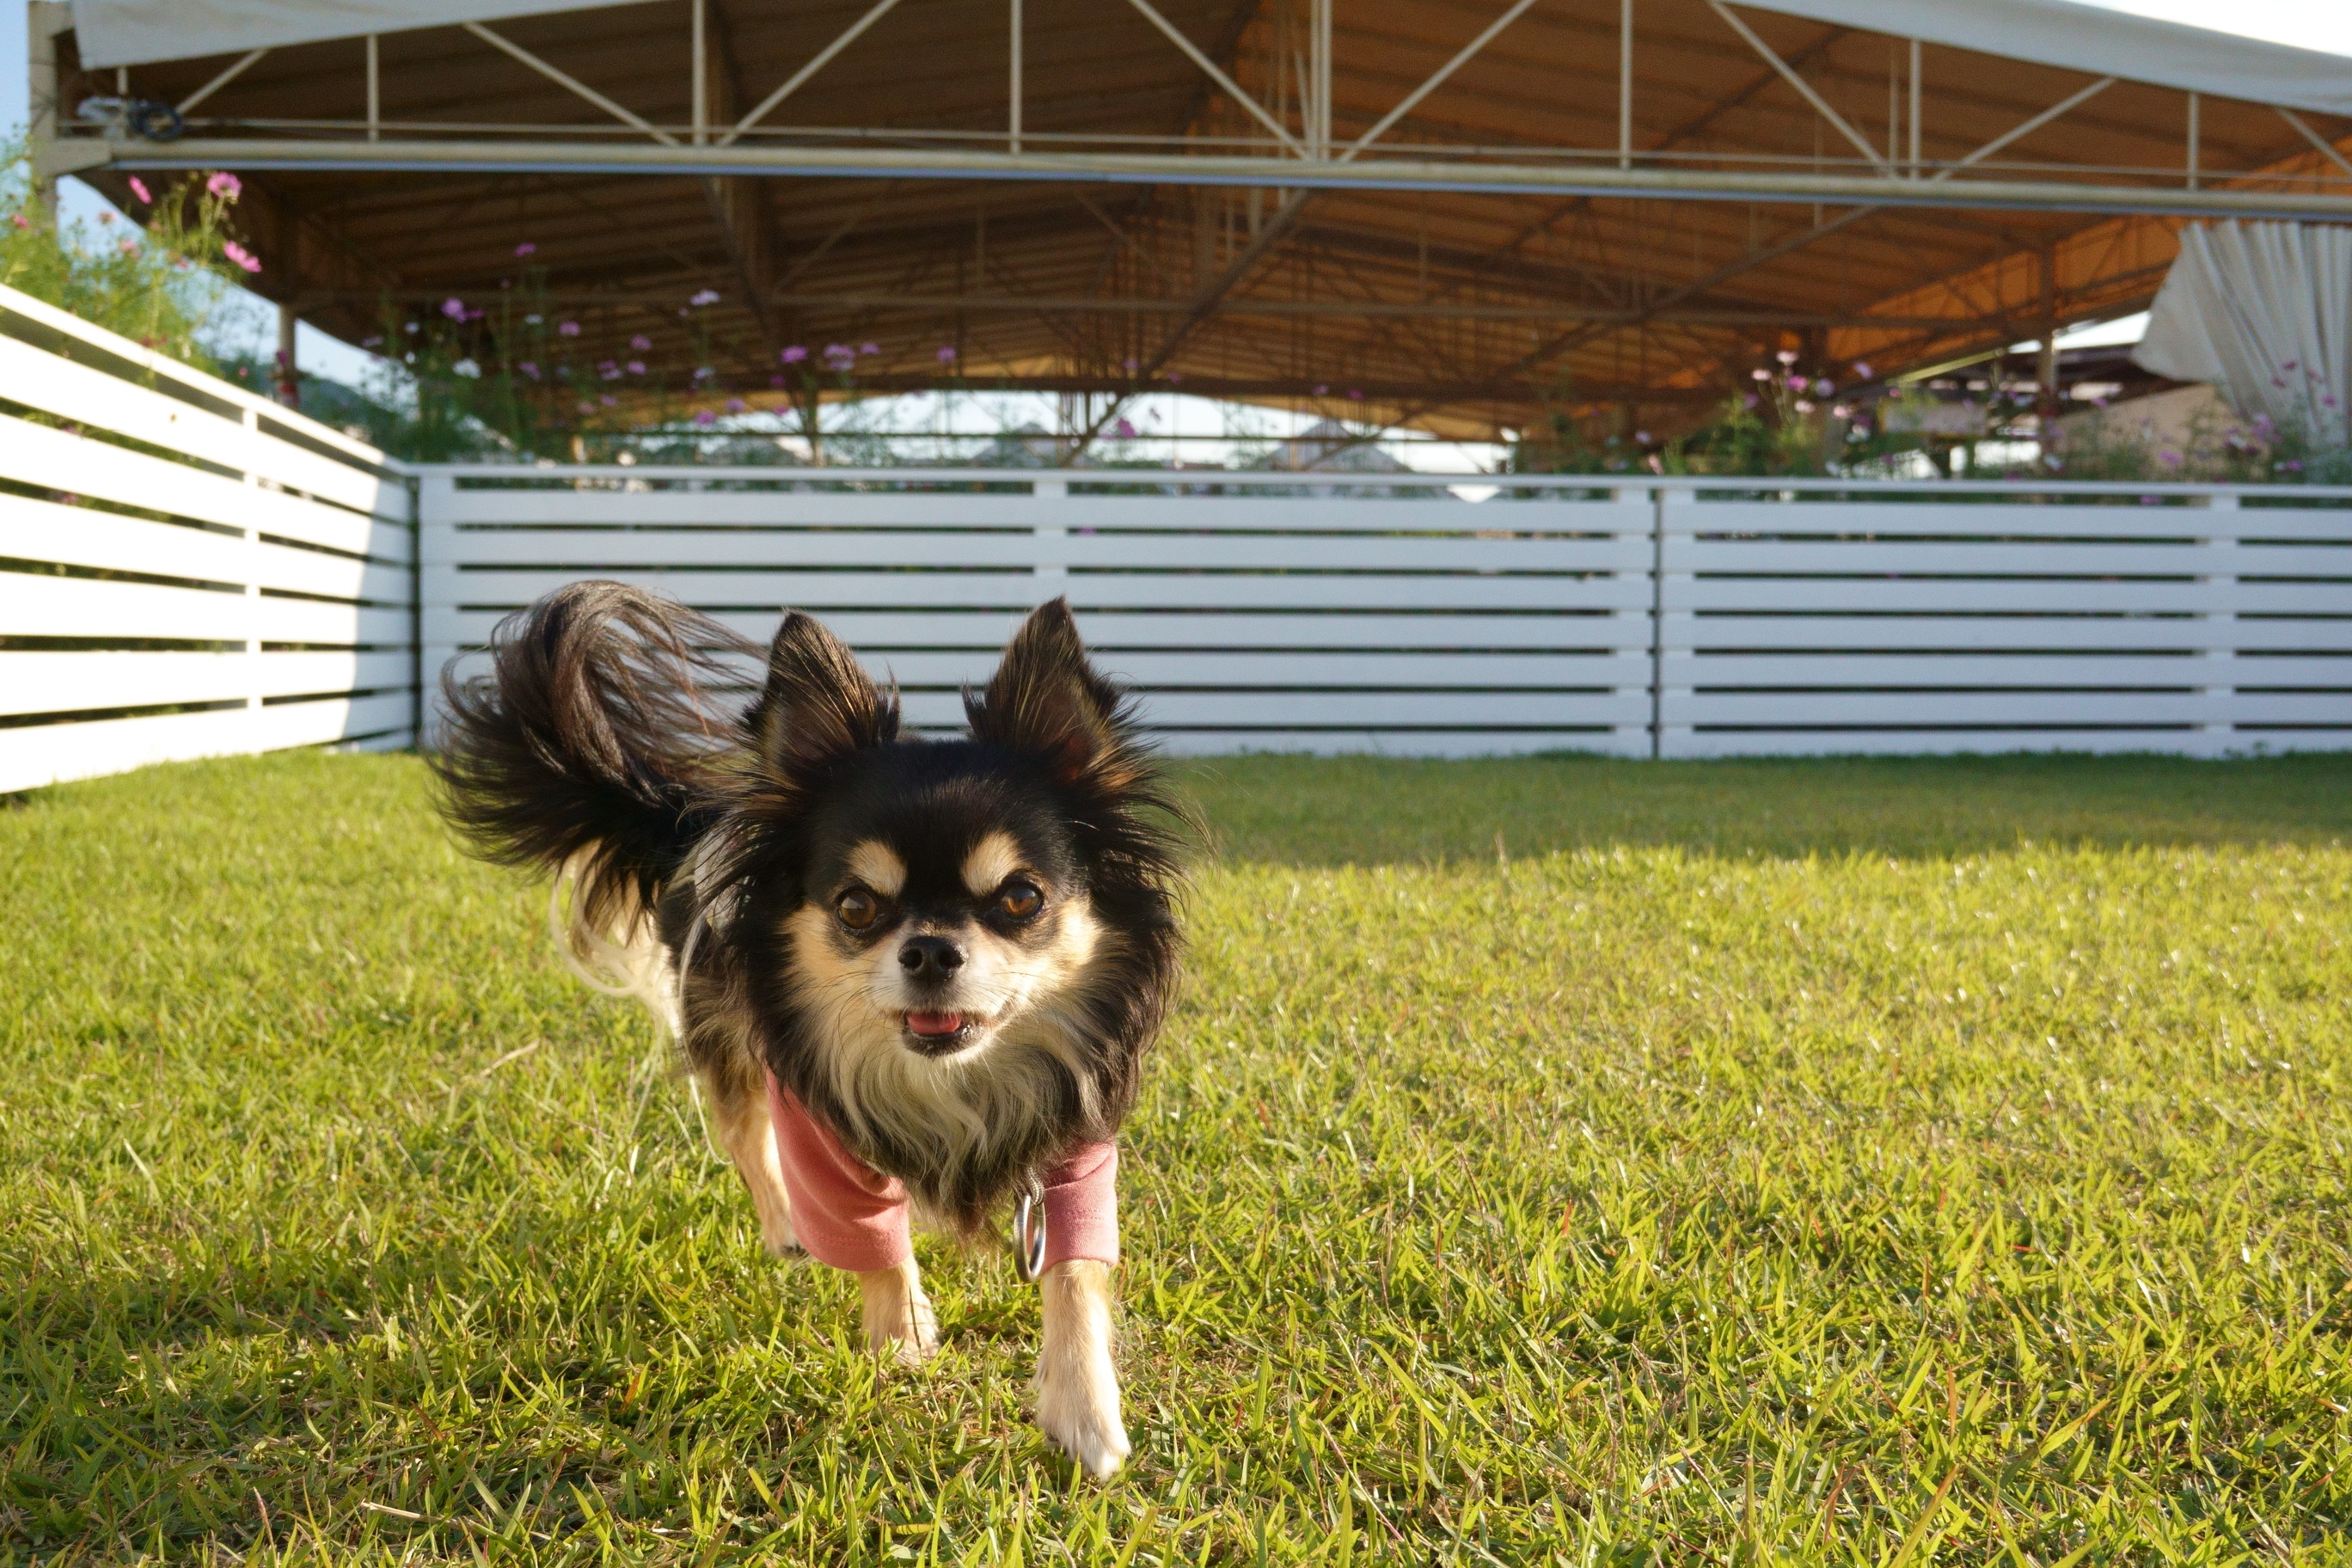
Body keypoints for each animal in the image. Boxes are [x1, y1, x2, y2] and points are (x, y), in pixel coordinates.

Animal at [435, 585, 1185, 1476]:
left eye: (1021, 898)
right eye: (856, 907)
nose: (931, 948)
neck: (947, 1083)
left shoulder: (1076, 1145)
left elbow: (1073, 1269)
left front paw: (1085, 1411)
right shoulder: (820, 1132)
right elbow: (872, 1237)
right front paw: (902, 1340)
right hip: (728, 1035)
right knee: (745, 1137)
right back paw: (787, 1231)